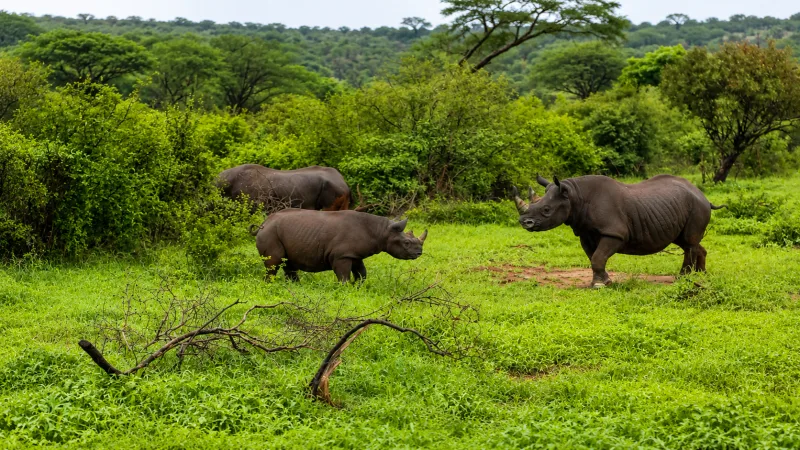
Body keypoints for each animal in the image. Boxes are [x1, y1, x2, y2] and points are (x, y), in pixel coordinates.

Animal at [253, 209, 427, 283]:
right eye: (406, 243)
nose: (419, 253)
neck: (382, 231)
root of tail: (263, 223)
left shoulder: (354, 254)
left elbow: (362, 273)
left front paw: (358, 286)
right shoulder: (341, 255)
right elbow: (343, 275)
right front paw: (345, 288)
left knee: (289, 263)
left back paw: (295, 286)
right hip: (270, 233)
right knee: (274, 263)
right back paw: (270, 285)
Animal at [512, 174, 726, 288]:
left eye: (546, 210)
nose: (525, 222)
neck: (574, 196)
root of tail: (703, 196)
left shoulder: (615, 232)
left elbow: (599, 256)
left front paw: (599, 285)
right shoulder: (585, 232)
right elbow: (593, 257)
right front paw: (604, 281)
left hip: (697, 205)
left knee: (688, 242)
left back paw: (683, 278)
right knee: (687, 241)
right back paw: (701, 276)